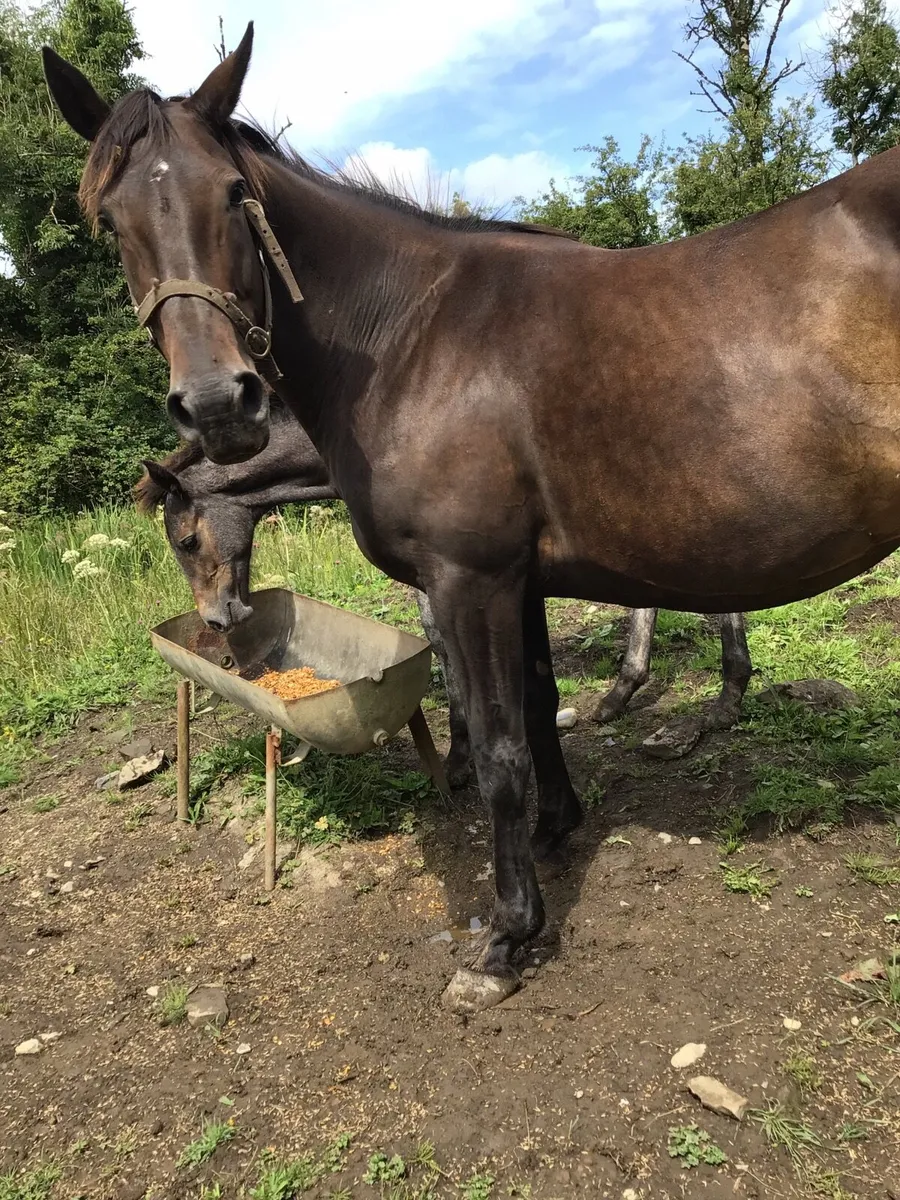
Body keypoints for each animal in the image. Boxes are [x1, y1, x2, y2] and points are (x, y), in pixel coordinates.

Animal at [135, 407, 752, 785]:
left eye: (186, 541)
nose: (217, 619)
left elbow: (443, 649)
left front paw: (458, 758)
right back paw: (628, 694)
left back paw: (721, 699)